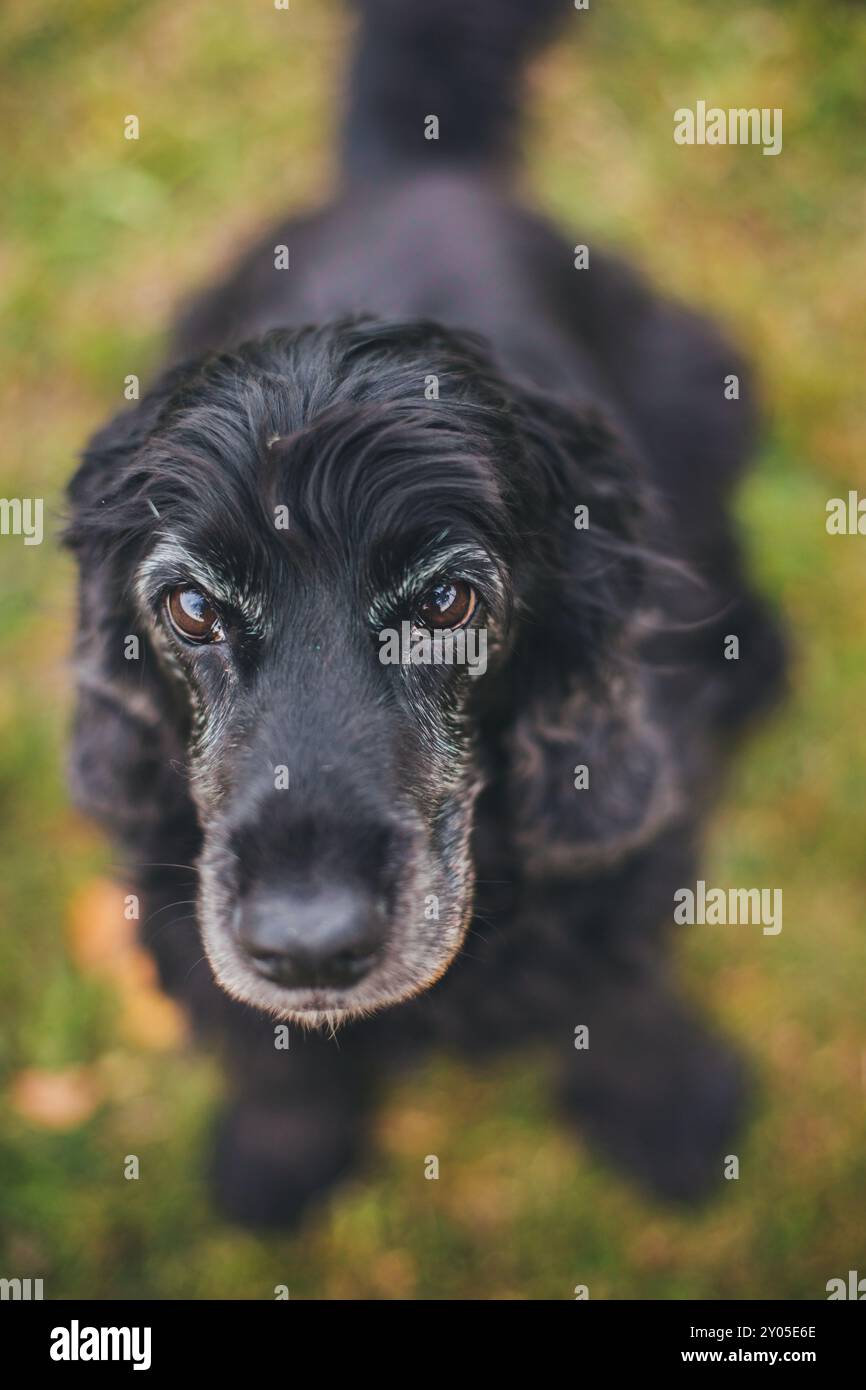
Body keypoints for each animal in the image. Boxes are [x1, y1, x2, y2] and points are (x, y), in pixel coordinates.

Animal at [66, 0, 783, 1228]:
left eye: (448, 598)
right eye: (193, 610)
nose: (308, 949)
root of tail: (415, 165)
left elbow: (627, 994)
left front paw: (662, 1110)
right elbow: (270, 1060)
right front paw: (278, 1150)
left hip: (697, 389)